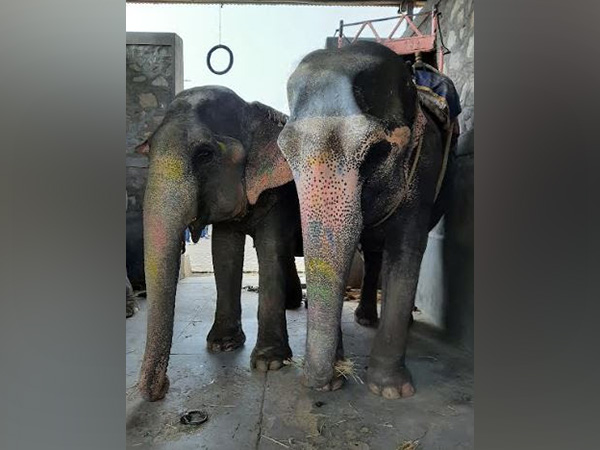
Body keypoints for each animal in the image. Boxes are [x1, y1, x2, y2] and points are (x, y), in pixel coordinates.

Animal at [137, 86, 304, 402]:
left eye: (205, 154)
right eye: (148, 149)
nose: (161, 389)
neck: (253, 111)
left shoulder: (278, 191)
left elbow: (270, 248)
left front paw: (269, 363)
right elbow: (224, 252)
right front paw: (222, 345)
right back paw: (293, 305)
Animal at [278, 42, 458, 400]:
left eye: (377, 152)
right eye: (286, 154)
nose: (316, 382)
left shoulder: (424, 163)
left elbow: (407, 249)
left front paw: (391, 391)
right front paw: (337, 377)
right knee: (373, 253)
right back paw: (365, 319)